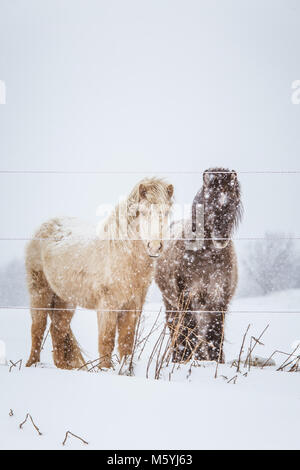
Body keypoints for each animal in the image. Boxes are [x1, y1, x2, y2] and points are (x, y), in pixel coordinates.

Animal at [25, 178, 173, 370]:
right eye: (143, 212)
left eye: (167, 212)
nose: (155, 247)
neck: (121, 253)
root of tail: (45, 226)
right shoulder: (107, 305)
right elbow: (106, 341)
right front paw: (105, 370)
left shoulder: (132, 306)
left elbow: (126, 342)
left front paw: (125, 370)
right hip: (39, 291)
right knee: (38, 328)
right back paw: (32, 364)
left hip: (65, 300)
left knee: (58, 329)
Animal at [156, 169, 243, 364]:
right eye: (209, 202)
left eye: (234, 202)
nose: (221, 237)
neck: (206, 257)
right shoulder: (187, 297)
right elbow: (189, 331)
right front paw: (189, 359)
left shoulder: (218, 298)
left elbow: (214, 333)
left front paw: (214, 361)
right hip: (171, 303)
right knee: (177, 330)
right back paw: (178, 358)